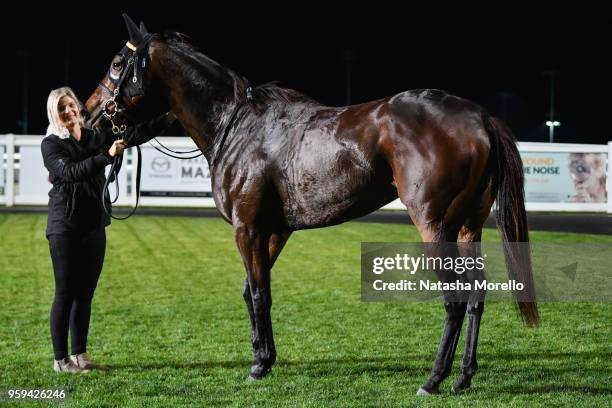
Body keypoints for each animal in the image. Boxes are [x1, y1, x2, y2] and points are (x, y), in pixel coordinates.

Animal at [85, 15, 536, 396]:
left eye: (117, 62)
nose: (89, 115)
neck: (238, 126)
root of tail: (478, 117)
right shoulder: (275, 231)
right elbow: (252, 291)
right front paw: (264, 358)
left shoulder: (247, 227)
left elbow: (259, 293)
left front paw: (258, 365)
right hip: (468, 227)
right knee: (476, 297)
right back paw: (463, 377)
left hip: (435, 225)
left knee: (455, 299)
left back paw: (434, 379)